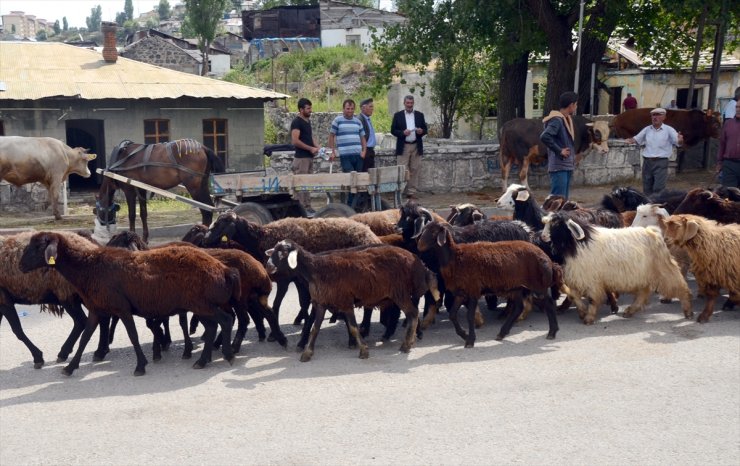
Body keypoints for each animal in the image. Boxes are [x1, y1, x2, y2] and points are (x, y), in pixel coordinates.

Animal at [94, 137, 225, 240]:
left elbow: (132, 215)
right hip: (202, 185)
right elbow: (143, 213)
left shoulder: (129, 190)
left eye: (99, 211)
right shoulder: (141, 189)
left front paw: (130, 235)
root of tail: (203, 148)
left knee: (206, 210)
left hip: (194, 187)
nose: (101, 227)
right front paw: (144, 238)